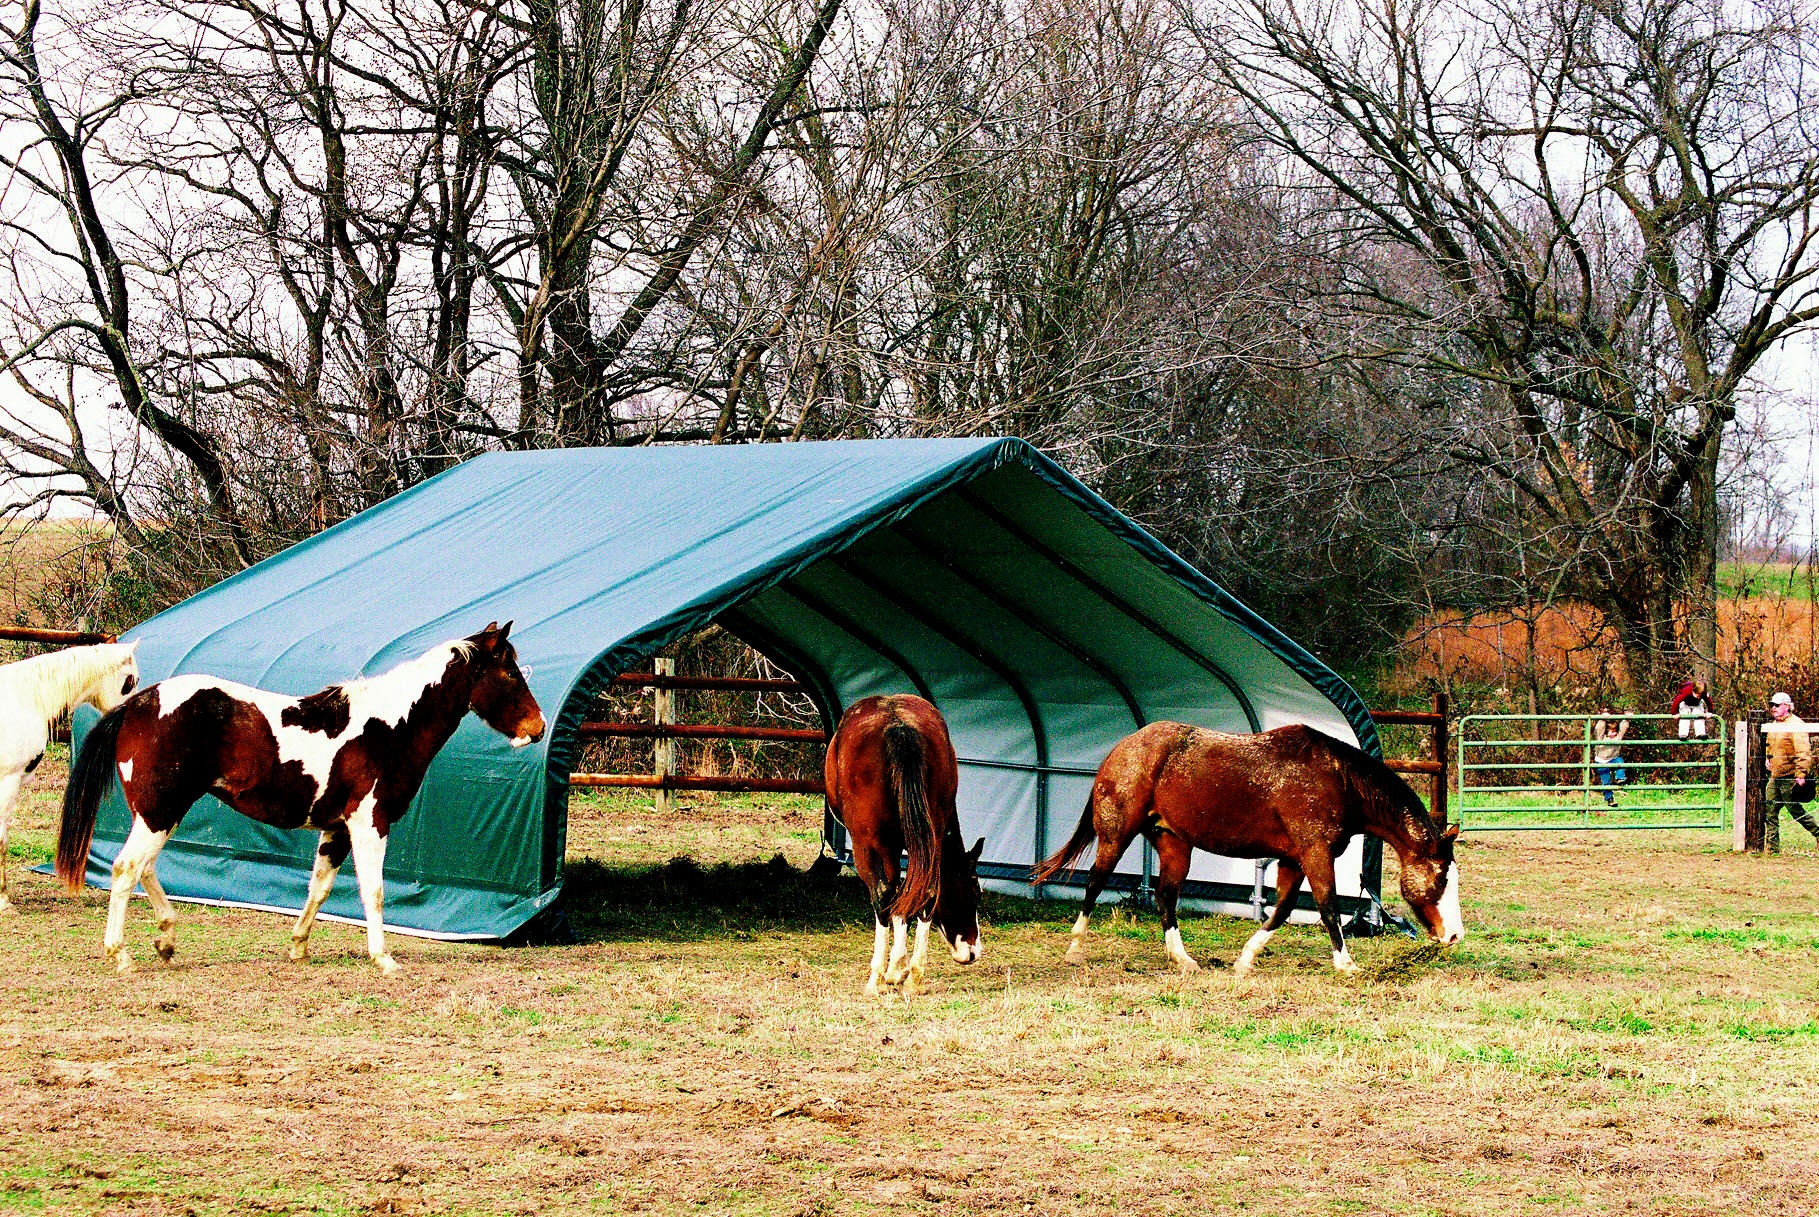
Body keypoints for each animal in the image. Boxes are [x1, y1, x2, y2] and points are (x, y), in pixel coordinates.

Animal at [55, 622, 538, 975]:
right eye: (510, 673)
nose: (538, 726)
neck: (389, 727)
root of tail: (136, 705)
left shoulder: (336, 829)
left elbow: (319, 888)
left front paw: (299, 947)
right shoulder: (370, 823)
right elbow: (374, 891)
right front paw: (383, 959)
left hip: (162, 812)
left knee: (145, 868)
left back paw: (167, 939)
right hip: (159, 811)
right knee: (126, 868)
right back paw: (121, 954)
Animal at [829, 691, 982, 996]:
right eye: (975, 894)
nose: (973, 952)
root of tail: (899, 724)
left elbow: (893, 895)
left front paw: (892, 970)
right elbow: (909, 893)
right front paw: (900, 970)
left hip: (869, 844)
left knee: (884, 895)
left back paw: (878, 977)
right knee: (927, 892)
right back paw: (915, 978)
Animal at [1040, 727, 1462, 975]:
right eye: (1441, 877)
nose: (1455, 936)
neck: (1338, 779)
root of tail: (1121, 749)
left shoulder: (1294, 859)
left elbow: (1282, 910)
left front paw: (1245, 958)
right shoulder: (1316, 853)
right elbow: (1327, 906)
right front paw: (1345, 963)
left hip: (1175, 844)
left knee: (1165, 895)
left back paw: (1183, 959)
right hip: (1116, 836)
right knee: (1095, 883)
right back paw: (1075, 949)